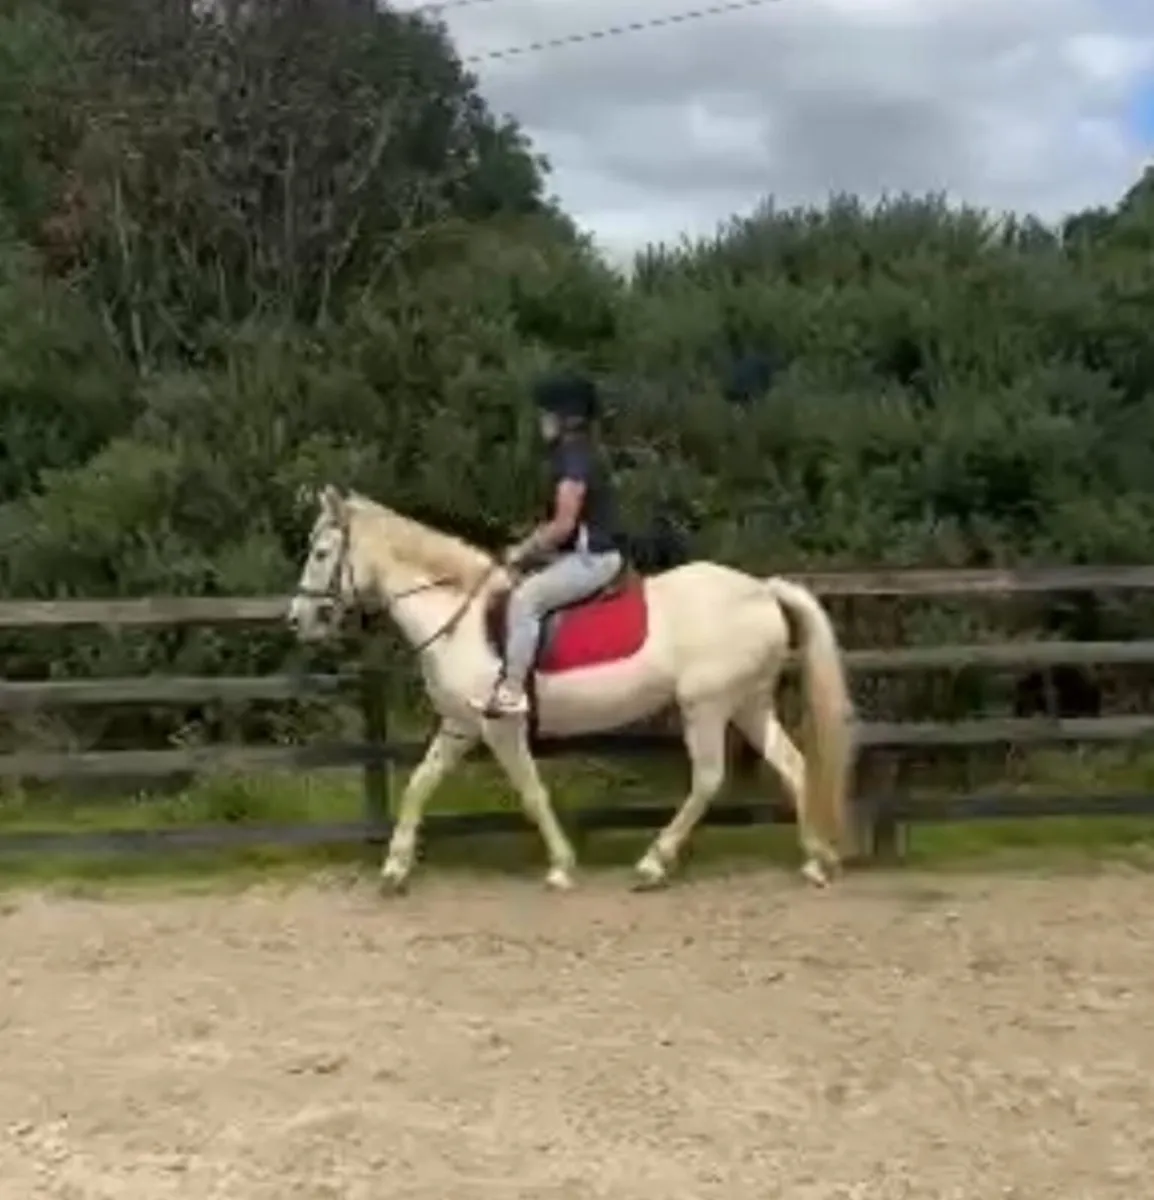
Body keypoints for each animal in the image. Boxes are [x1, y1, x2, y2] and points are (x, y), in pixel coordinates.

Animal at [287, 485, 857, 893]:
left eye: (321, 552)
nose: (296, 620)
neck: (459, 617)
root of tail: (762, 591)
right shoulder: (460, 725)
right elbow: (418, 784)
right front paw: (395, 869)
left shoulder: (500, 727)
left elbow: (532, 792)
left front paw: (561, 867)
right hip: (748, 704)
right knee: (795, 766)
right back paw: (817, 860)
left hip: (707, 706)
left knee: (709, 780)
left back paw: (653, 864)